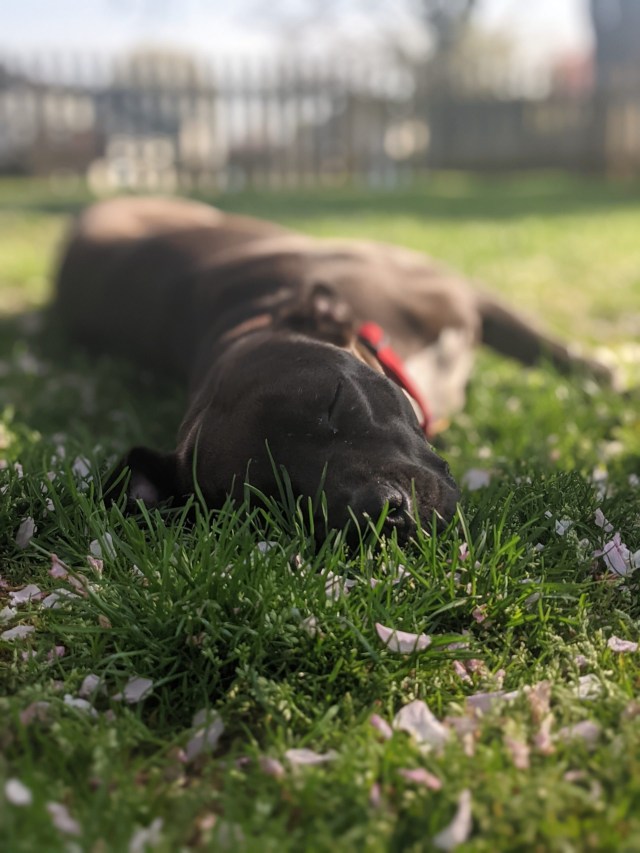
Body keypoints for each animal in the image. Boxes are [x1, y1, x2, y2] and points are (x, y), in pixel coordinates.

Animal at [53, 197, 608, 544]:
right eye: (269, 501)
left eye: (336, 401)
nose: (382, 514)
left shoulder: (463, 294)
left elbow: (543, 345)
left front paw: (606, 379)